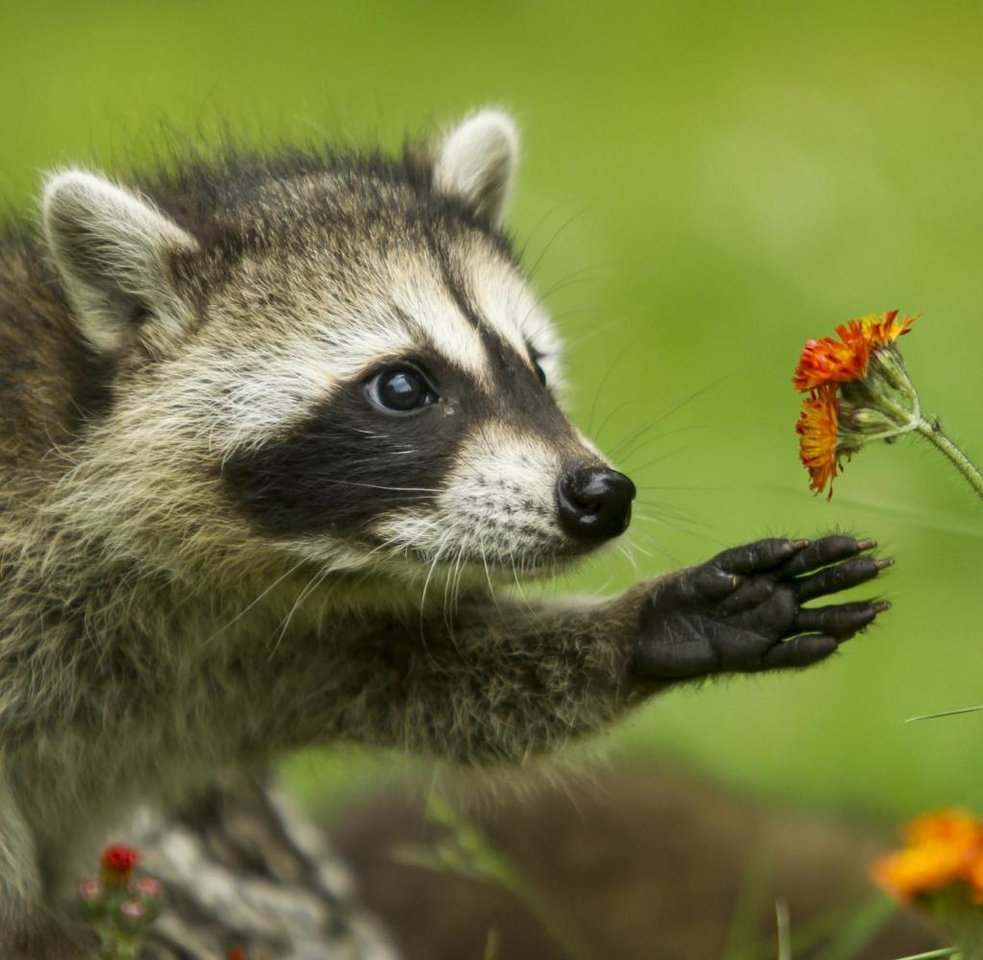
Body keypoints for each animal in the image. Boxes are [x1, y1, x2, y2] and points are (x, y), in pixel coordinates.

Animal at [0, 109, 892, 956]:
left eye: (534, 368)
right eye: (402, 387)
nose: (601, 496)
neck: (231, 565)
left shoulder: (276, 646)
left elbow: (433, 676)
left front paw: (651, 625)